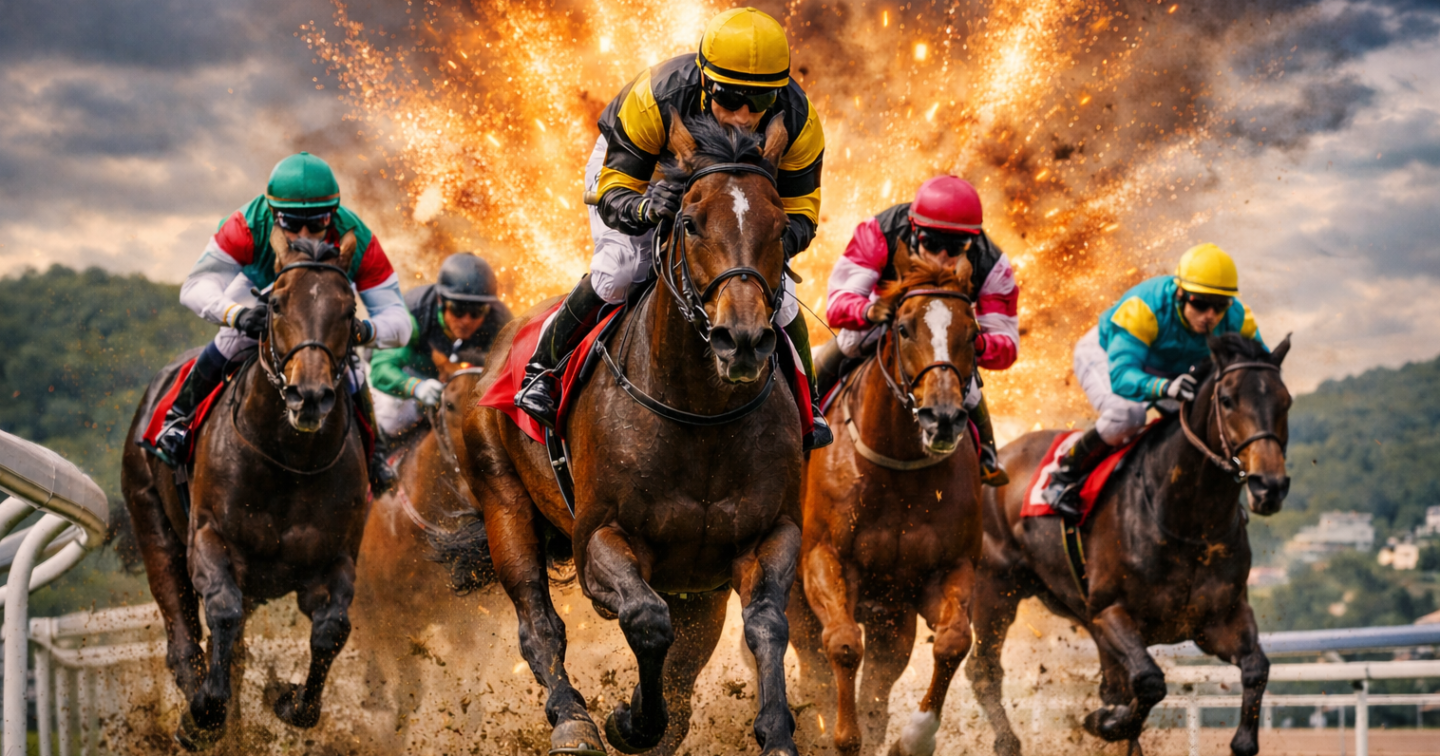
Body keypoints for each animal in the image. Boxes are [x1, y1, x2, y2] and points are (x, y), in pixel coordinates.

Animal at [120, 237, 371, 749]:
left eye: (349, 309)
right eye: (276, 304)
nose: (308, 396)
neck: (290, 461)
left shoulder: (335, 556)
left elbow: (331, 629)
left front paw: (288, 699)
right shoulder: (210, 538)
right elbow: (222, 612)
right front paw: (204, 714)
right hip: (153, 526)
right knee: (183, 638)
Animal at [434, 112, 805, 756]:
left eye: (782, 228)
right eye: (689, 221)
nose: (742, 340)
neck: (702, 418)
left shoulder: (768, 535)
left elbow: (765, 624)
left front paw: (775, 730)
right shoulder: (599, 538)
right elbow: (646, 621)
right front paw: (630, 720)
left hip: (697, 590)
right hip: (502, 499)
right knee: (539, 624)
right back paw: (572, 719)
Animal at [787, 259, 983, 756]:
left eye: (972, 333)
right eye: (904, 328)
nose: (943, 417)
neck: (900, 471)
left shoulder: (944, 571)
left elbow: (954, 641)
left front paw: (914, 737)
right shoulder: (823, 558)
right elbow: (841, 645)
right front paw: (842, 736)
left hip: (892, 619)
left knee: (884, 667)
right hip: (795, 601)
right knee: (809, 656)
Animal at [964, 333, 1293, 756]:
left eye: (1286, 400)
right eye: (1227, 399)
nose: (1269, 485)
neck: (1187, 523)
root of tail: (995, 460)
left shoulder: (1218, 619)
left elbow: (1256, 668)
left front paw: (1243, 740)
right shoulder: (1110, 612)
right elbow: (1149, 683)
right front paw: (1105, 722)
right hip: (996, 588)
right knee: (984, 669)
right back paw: (1008, 742)